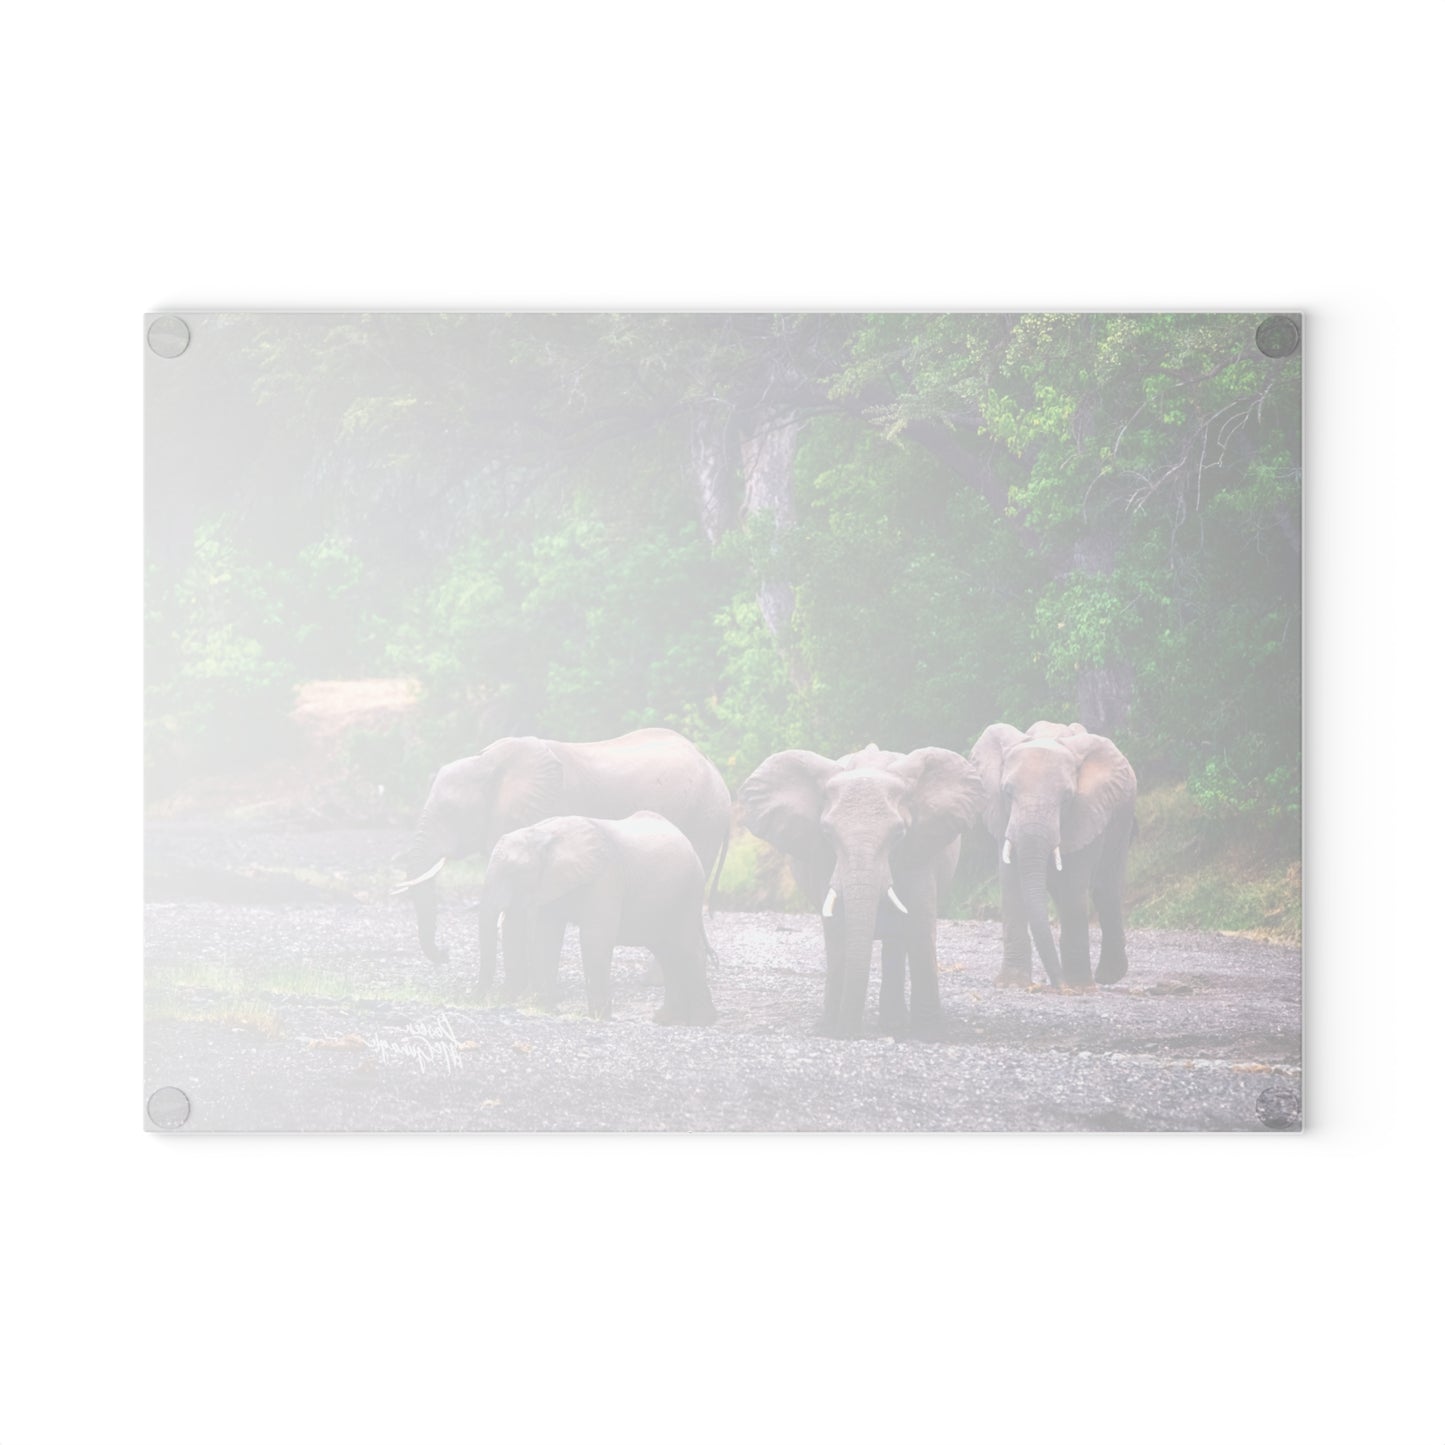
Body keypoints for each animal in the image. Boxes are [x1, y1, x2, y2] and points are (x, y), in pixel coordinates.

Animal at [392, 727, 731, 970]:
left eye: (450, 812)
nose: (445, 953)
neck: (488, 762)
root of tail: (716, 771)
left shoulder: (548, 810)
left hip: (703, 818)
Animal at [475, 811, 718, 1025]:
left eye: (516, 871)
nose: (487, 1001)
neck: (544, 832)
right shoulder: (552, 884)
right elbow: (547, 936)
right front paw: (546, 1009)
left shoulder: (606, 877)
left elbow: (595, 937)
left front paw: (598, 1017)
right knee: (667, 951)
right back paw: (667, 1020)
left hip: (688, 892)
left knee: (684, 947)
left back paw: (700, 1021)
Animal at [739, 743, 984, 1039]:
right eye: (827, 833)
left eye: (899, 834)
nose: (849, 1033)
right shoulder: (825, 862)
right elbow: (837, 930)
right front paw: (831, 1029)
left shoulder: (920, 849)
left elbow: (920, 924)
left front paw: (930, 1034)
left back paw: (894, 1024)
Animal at [970, 720, 1137, 990]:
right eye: (1007, 792)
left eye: (1067, 798)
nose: (1060, 985)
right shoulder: (1003, 816)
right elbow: (1012, 885)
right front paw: (1012, 983)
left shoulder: (1086, 811)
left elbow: (1073, 888)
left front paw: (1078, 987)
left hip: (1122, 817)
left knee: (1106, 890)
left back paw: (1106, 976)